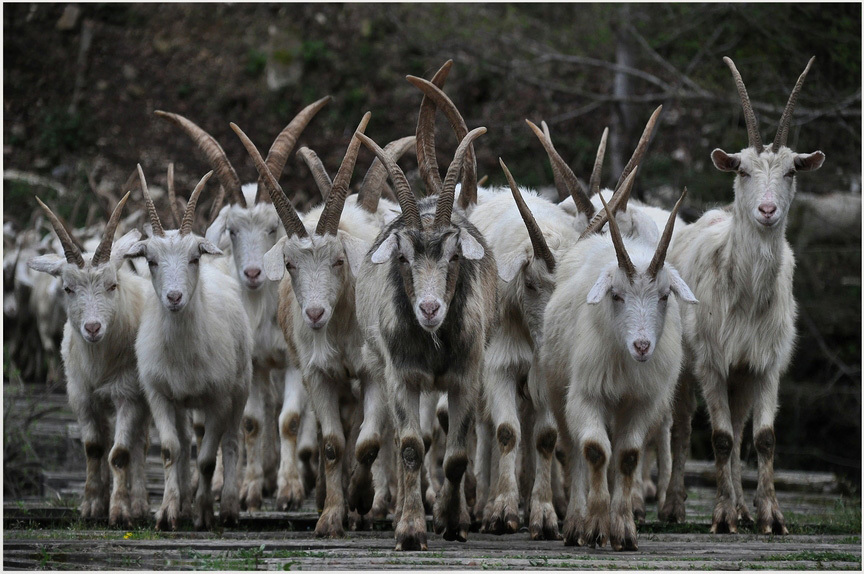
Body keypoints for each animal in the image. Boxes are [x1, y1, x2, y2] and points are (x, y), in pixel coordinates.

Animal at [27, 194, 151, 528]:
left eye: (111, 285)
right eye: (68, 288)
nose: (93, 328)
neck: (100, 364)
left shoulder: (128, 395)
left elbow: (120, 453)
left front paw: (120, 512)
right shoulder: (82, 396)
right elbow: (94, 449)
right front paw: (91, 506)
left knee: (139, 444)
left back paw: (139, 505)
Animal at [125, 165, 253, 532]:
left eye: (194, 257)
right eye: (150, 260)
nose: (174, 297)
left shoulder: (219, 398)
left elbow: (208, 459)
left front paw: (204, 513)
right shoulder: (158, 393)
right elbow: (171, 450)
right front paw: (168, 512)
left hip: (241, 385)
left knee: (232, 441)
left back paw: (228, 507)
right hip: (181, 402)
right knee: (183, 443)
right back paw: (182, 504)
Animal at [154, 99, 330, 512]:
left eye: (272, 228)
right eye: (232, 231)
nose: (252, 273)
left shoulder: (293, 359)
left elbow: (290, 419)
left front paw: (288, 488)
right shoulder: (251, 362)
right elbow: (251, 422)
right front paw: (250, 488)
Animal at [660, 57, 828, 536]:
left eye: (791, 171)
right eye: (742, 170)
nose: (767, 210)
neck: (748, 294)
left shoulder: (767, 362)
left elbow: (763, 438)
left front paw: (770, 515)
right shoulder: (712, 360)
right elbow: (717, 438)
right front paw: (720, 517)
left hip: (743, 375)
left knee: (738, 429)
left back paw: (742, 507)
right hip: (687, 365)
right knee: (683, 428)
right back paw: (675, 507)